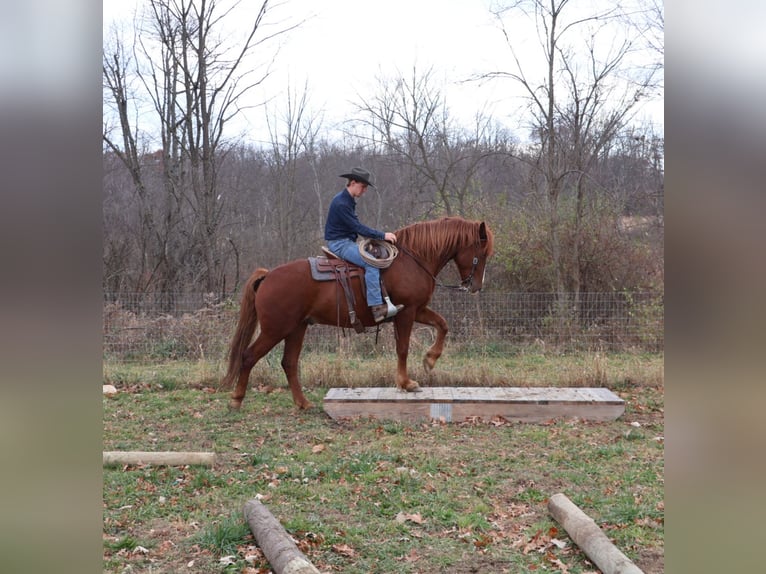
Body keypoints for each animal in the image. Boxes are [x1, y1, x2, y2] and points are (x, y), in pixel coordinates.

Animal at [221, 216, 494, 410]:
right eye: (481, 253)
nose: (476, 286)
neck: (414, 260)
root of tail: (268, 275)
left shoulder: (418, 310)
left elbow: (443, 324)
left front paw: (430, 360)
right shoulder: (407, 313)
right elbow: (403, 348)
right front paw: (407, 383)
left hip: (297, 328)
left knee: (289, 362)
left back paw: (303, 403)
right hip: (276, 329)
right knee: (249, 356)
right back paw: (236, 399)